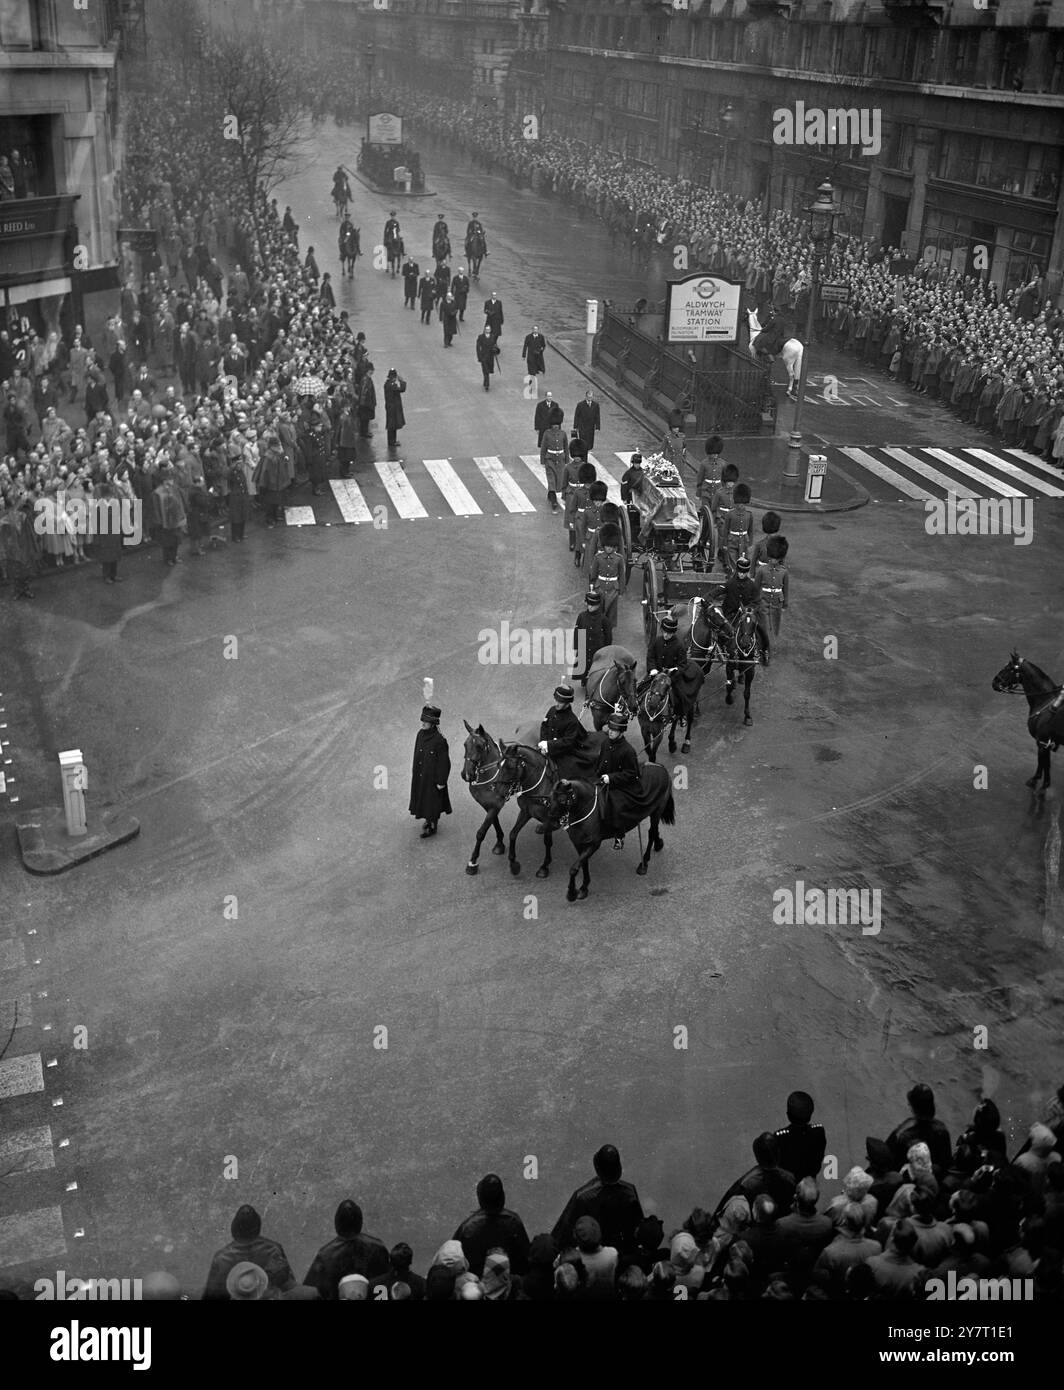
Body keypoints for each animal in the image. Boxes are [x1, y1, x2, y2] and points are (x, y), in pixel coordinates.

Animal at [547, 767, 673, 906]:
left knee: (651, 832)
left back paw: (644, 863)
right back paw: (658, 844)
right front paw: (584, 888)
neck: (584, 809)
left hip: (656, 811)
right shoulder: (579, 844)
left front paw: (571, 893)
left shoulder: (593, 844)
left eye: (562, 799)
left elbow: (574, 868)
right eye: (550, 797)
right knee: (654, 832)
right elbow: (583, 864)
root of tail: (660, 767)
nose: (550, 818)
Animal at [990, 650, 1062, 795]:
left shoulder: (1043, 742)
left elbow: (1044, 764)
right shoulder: (1044, 743)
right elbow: (1045, 763)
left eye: (1009, 668)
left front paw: (1040, 783)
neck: (1045, 701)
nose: (994, 682)